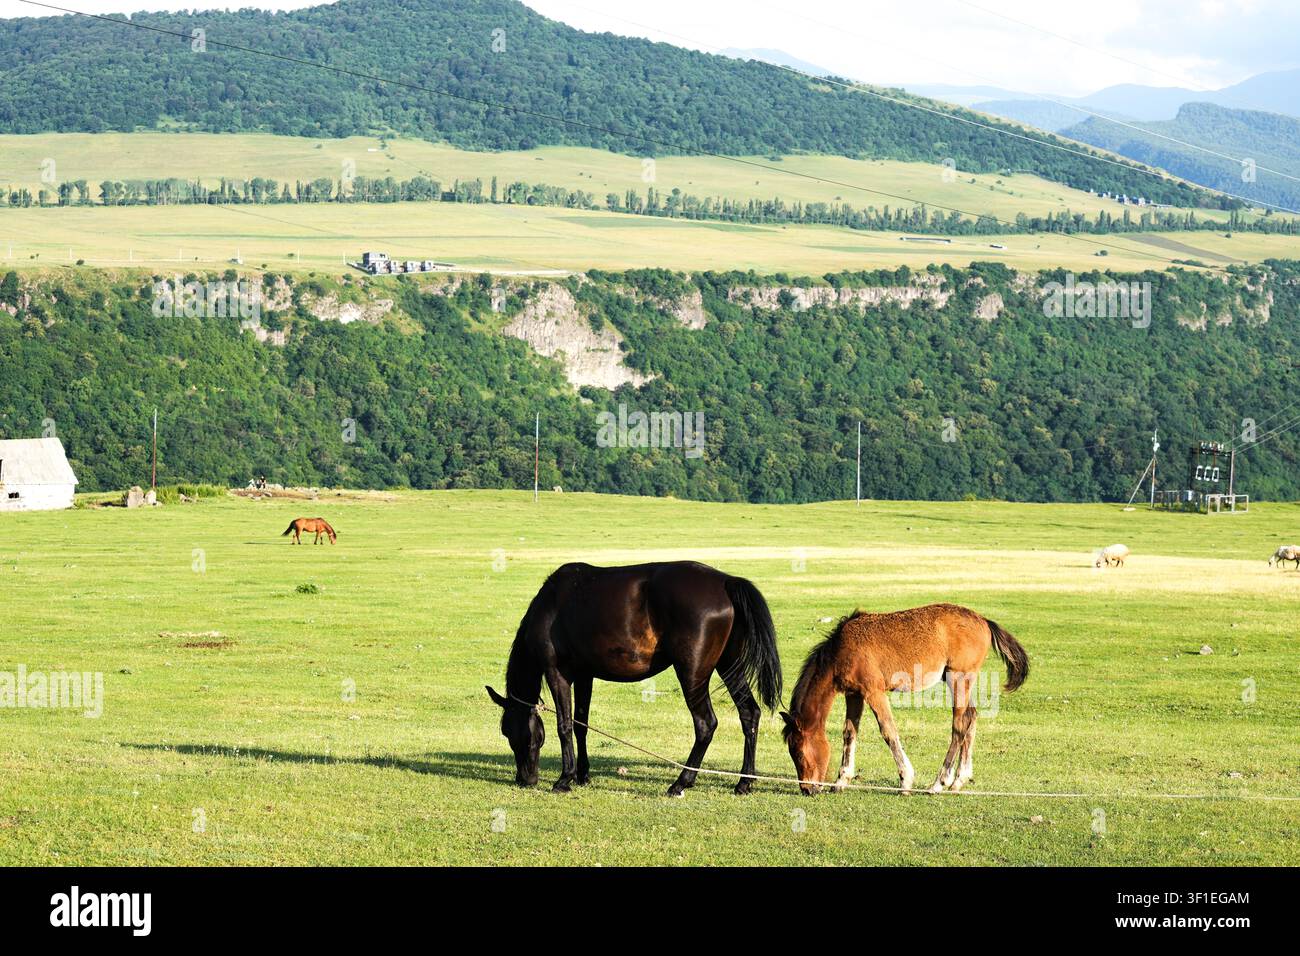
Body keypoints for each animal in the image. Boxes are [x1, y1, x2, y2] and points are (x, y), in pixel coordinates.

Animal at [486, 561, 783, 796]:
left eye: (508, 731)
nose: (525, 779)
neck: (552, 605)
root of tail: (725, 582)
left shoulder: (557, 673)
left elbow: (565, 725)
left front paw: (564, 778)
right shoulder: (584, 676)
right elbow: (582, 724)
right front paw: (582, 775)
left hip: (693, 674)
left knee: (705, 724)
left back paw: (681, 782)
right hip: (729, 666)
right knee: (749, 713)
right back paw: (744, 782)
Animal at [780, 604, 1028, 796]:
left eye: (798, 752)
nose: (807, 789)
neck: (841, 650)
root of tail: (983, 621)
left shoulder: (874, 692)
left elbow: (888, 731)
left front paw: (906, 780)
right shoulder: (854, 694)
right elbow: (849, 732)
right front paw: (841, 780)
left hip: (958, 678)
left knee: (960, 725)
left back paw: (940, 783)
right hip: (961, 682)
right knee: (972, 718)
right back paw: (959, 780)